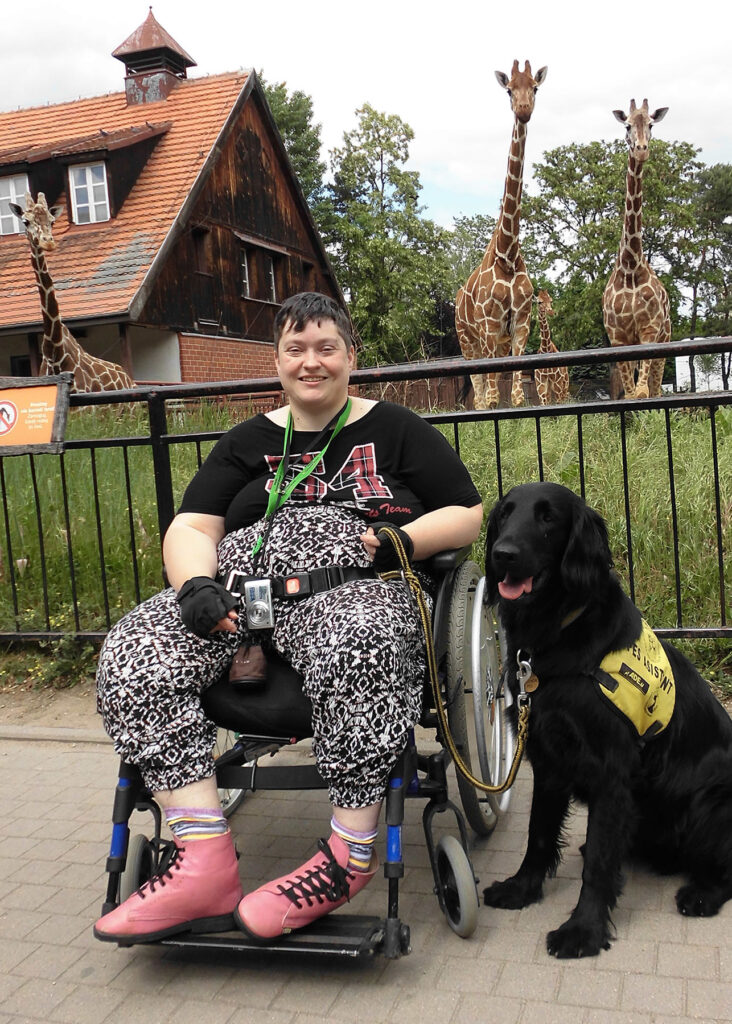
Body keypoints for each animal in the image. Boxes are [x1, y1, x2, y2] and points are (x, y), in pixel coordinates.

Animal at [482, 482, 732, 958]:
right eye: (505, 513)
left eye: (548, 517)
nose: (503, 554)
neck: (557, 633)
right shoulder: (549, 761)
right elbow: (538, 833)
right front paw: (522, 889)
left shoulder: (612, 771)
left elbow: (599, 863)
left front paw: (583, 930)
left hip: (711, 801)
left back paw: (703, 894)